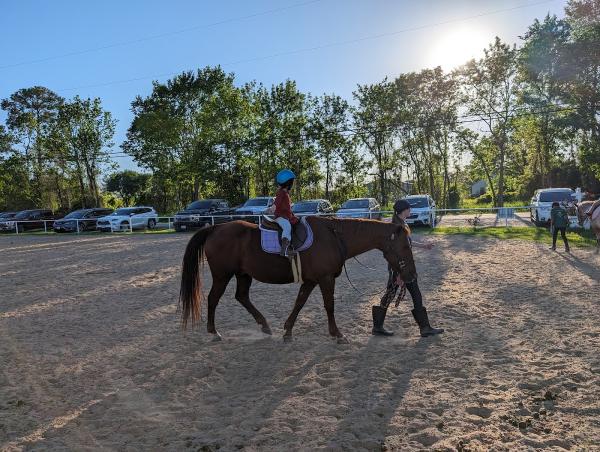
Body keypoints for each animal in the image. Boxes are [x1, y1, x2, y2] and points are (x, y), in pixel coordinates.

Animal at [178, 216, 418, 342]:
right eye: (406, 246)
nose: (412, 276)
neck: (334, 237)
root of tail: (215, 227)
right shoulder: (325, 279)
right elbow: (329, 305)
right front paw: (337, 333)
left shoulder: (311, 280)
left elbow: (299, 302)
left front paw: (288, 330)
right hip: (222, 275)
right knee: (213, 299)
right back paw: (214, 331)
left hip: (243, 274)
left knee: (242, 297)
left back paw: (265, 326)